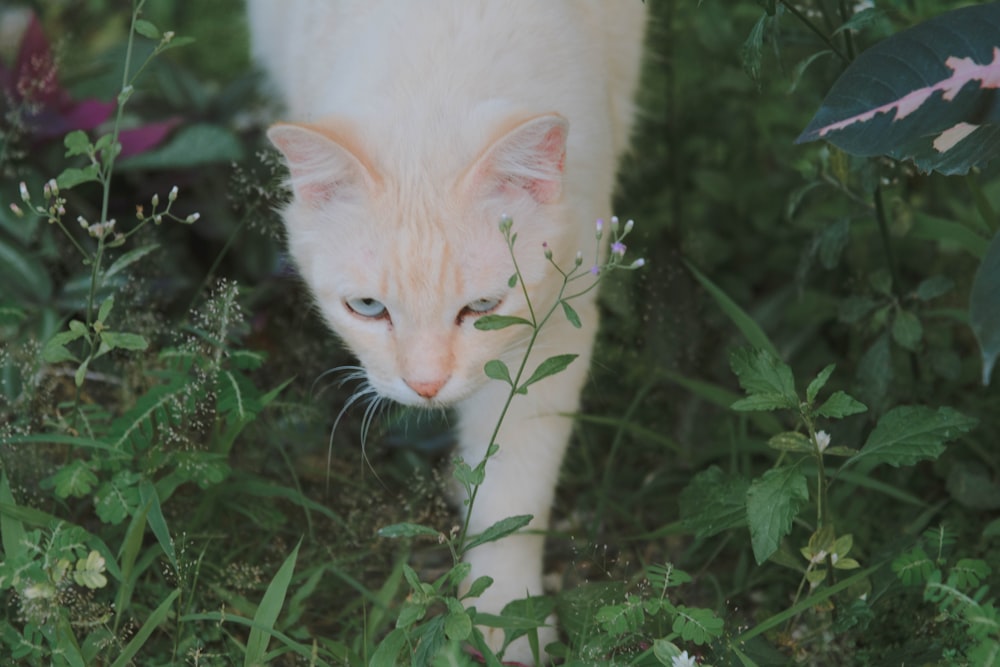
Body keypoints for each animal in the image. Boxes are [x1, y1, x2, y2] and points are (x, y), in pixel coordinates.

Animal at [246, 2, 644, 664]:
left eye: (482, 306)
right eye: (367, 307)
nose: (426, 385)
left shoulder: (550, 339)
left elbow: (514, 492)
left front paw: (507, 615)